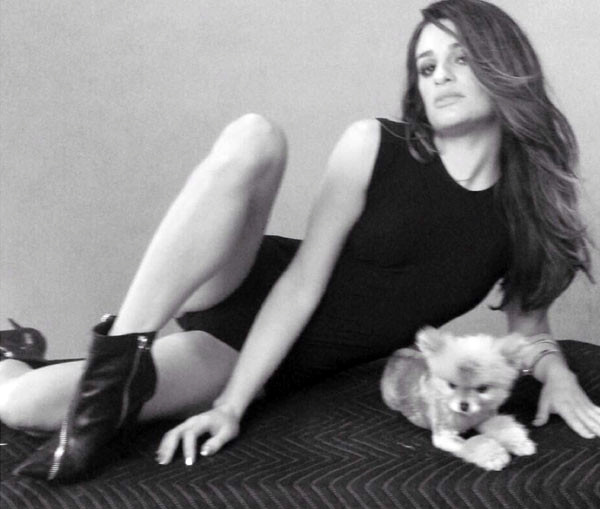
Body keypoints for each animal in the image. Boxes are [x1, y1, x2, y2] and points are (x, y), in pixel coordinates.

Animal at [381, 326, 536, 470]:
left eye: (482, 389)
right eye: (451, 385)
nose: (464, 405)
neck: (467, 418)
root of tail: (394, 356)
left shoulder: (485, 418)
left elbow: (503, 428)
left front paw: (520, 443)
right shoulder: (444, 436)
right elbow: (472, 442)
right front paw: (493, 456)